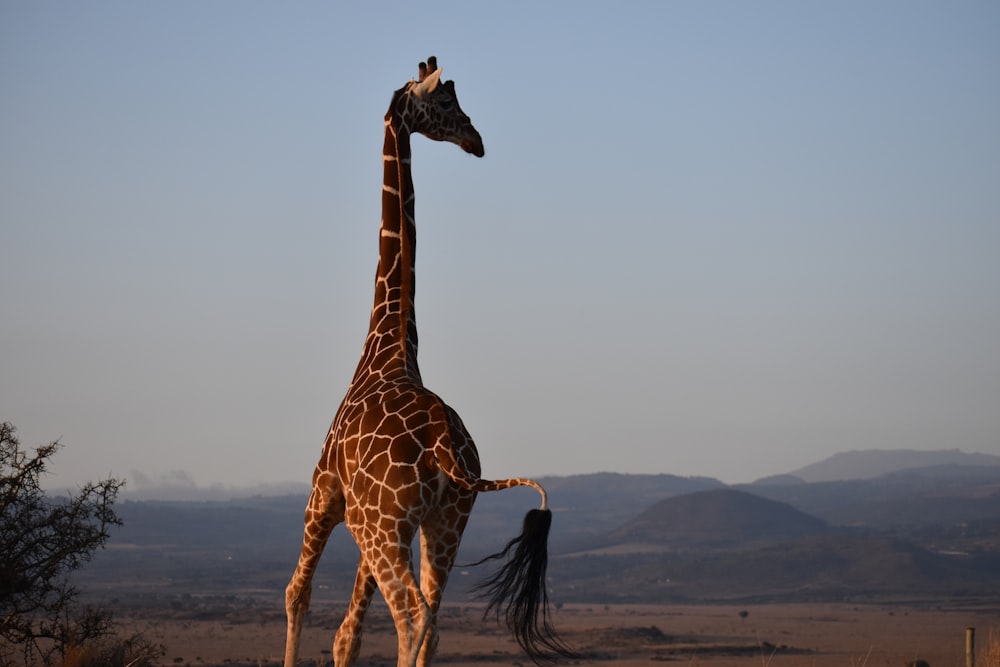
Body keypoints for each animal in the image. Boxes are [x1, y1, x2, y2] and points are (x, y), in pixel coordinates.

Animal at [286, 57, 576, 667]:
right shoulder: (371, 521)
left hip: (385, 526)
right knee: (433, 620)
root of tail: (445, 445)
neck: (389, 343)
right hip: (444, 525)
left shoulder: (326, 493)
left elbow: (300, 596)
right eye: (446, 102)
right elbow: (347, 631)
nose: (477, 141)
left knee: (411, 615)